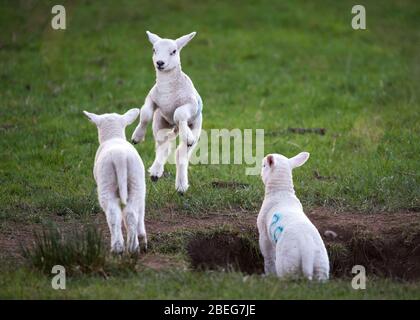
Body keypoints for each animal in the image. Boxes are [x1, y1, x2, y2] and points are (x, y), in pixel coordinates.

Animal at [83, 109, 147, 254]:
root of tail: (120, 156)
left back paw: (118, 247)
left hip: (106, 182)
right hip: (136, 181)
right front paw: (141, 237)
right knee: (130, 213)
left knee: (113, 214)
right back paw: (133, 246)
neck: (113, 137)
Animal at [132, 31, 203, 194]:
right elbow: (145, 114)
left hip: (196, 126)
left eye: (174, 51)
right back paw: (155, 172)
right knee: (163, 146)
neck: (167, 91)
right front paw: (137, 137)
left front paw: (187, 135)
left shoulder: (190, 104)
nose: (160, 63)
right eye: (154, 50)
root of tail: (173, 127)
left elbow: (179, 113)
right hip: (160, 122)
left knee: (181, 154)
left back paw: (181, 185)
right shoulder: (152, 98)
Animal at [256, 152, 332, 280]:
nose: (260, 174)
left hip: (287, 264)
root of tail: (307, 250)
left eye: (263, 166)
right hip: (321, 265)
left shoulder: (264, 233)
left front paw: (269, 274)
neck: (282, 192)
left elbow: (268, 256)